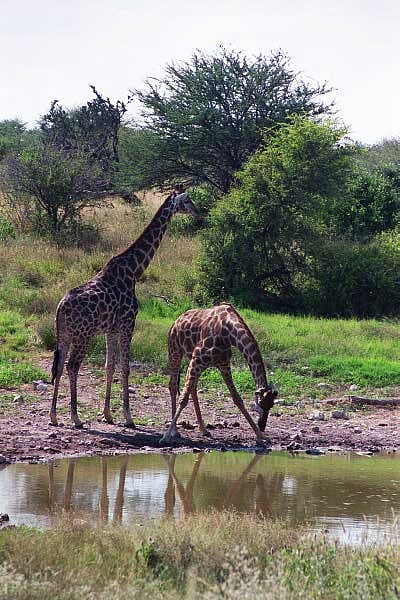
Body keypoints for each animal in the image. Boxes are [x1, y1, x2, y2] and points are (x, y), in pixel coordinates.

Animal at [49, 190, 198, 428]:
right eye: (186, 200)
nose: (198, 212)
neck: (134, 270)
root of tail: (61, 307)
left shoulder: (111, 329)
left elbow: (110, 366)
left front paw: (108, 414)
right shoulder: (129, 323)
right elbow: (125, 368)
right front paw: (128, 417)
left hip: (63, 335)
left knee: (59, 366)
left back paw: (53, 416)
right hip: (83, 336)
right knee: (73, 366)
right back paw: (76, 417)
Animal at [161, 302, 276, 442]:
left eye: (271, 405)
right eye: (260, 404)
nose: (262, 425)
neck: (228, 334)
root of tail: (176, 321)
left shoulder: (223, 365)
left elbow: (237, 399)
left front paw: (261, 436)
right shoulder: (197, 360)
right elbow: (183, 399)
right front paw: (166, 435)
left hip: (190, 358)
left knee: (192, 387)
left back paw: (204, 429)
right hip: (175, 351)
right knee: (173, 385)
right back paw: (175, 431)